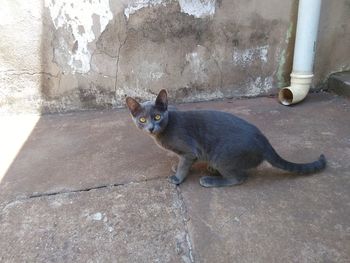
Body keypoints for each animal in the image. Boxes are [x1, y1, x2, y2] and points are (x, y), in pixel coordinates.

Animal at [125, 90, 326, 188]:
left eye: (157, 117)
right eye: (142, 120)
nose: (151, 127)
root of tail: (264, 141)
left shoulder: (190, 151)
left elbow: (184, 164)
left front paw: (177, 177)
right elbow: (182, 161)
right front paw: (176, 166)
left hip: (223, 156)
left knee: (240, 177)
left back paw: (210, 180)